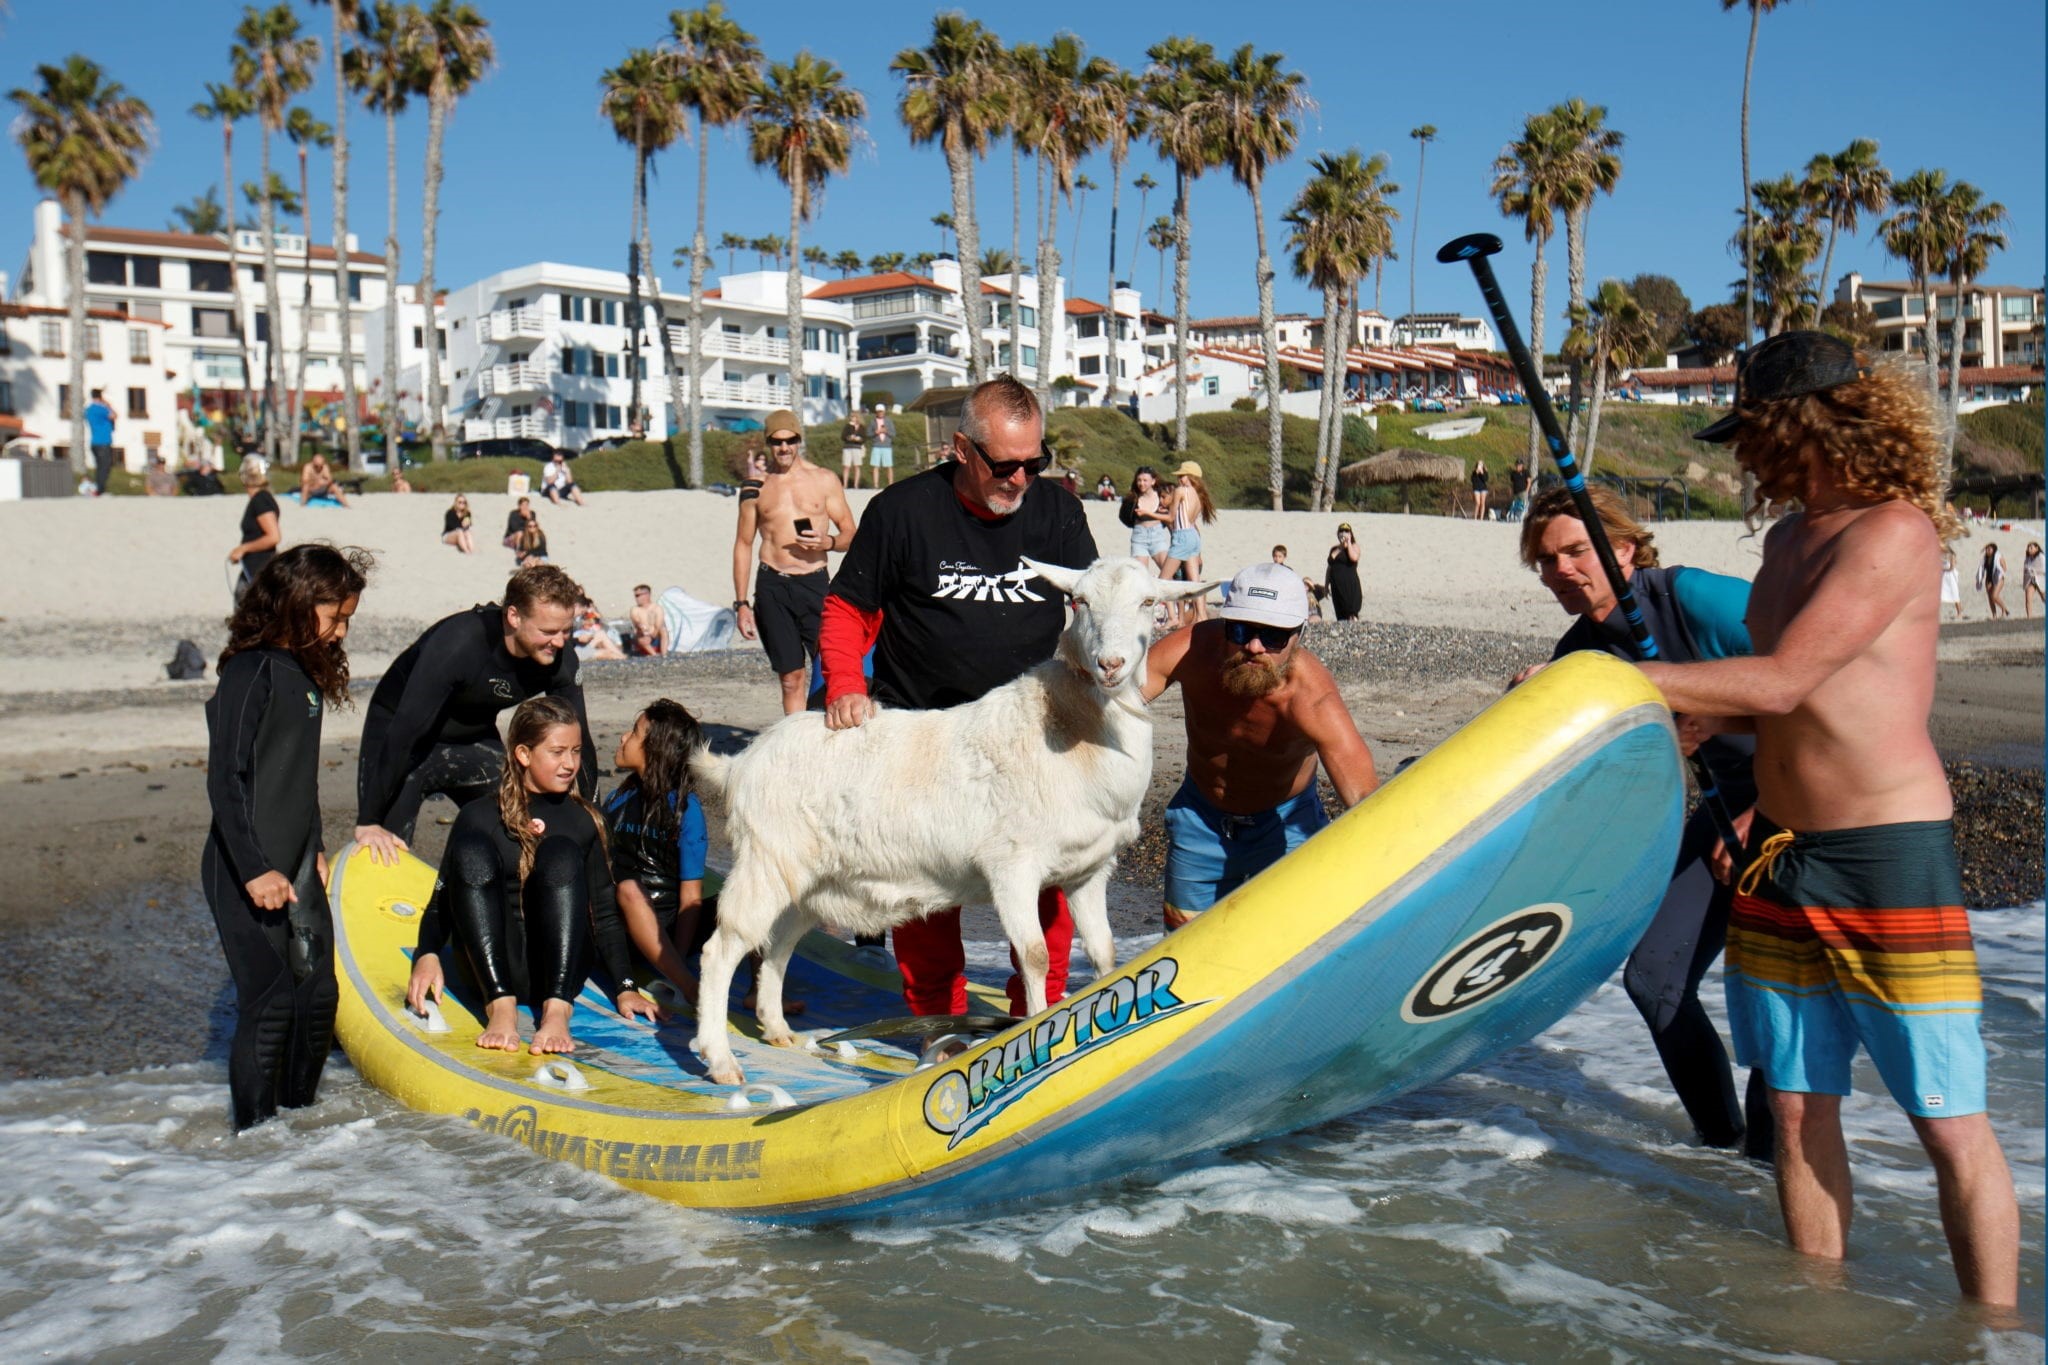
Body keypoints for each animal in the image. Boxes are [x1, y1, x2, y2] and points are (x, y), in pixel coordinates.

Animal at [688, 560, 1212, 1080]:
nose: (1110, 665)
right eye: (1079, 601)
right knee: (724, 947)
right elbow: (1035, 956)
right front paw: (1036, 1038)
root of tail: (741, 762)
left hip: (807, 881)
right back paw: (721, 1060)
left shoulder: (1088, 871)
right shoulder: (1013, 867)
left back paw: (778, 1030)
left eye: (1148, 602)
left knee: (777, 943)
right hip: (764, 858)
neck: (1073, 727)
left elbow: (1103, 953)